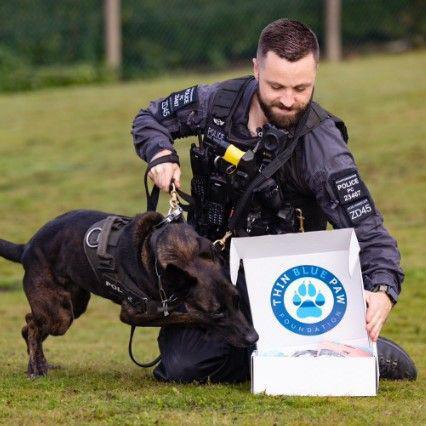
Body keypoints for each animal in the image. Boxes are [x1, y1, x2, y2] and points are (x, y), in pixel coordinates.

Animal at [0, 210, 258, 376]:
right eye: (217, 313)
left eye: (237, 300)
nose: (253, 338)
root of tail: (26, 247)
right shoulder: (136, 313)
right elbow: (186, 315)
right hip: (60, 316)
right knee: (32, 324)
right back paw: (37, 366)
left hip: (73, 305)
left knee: (28, 325)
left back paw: (36, 362)